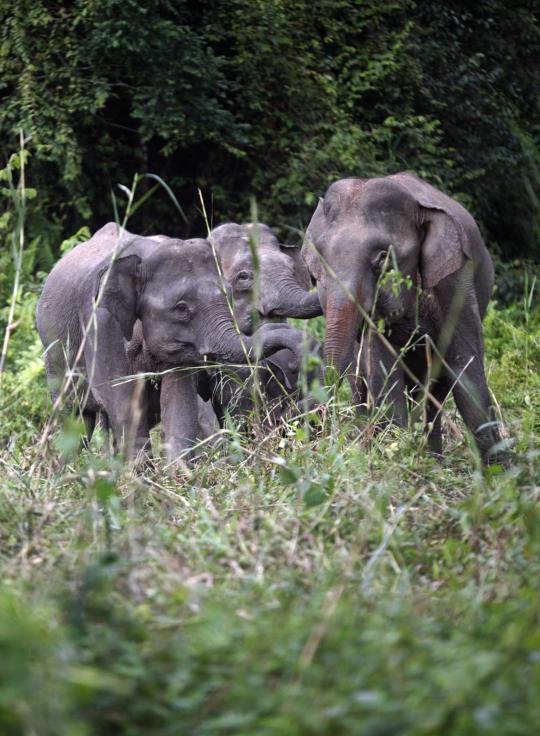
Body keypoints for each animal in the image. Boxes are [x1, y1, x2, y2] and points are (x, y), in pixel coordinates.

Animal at [35, 223, 310, 460]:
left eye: (229, 294)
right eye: (181, 308)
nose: (296, 361)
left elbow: (180, 404)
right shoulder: (100, 321)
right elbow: (121, 400)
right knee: (75, 419)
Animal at [304, 171, 506, 466]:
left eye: (382, 258)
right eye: (318, 261)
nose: (319, 435)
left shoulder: (456, 280)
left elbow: (465, 362)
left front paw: (499, 470)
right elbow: (382, 368)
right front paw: (395, 453)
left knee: (436, 389)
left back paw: (434, 459)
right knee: (364, 381)